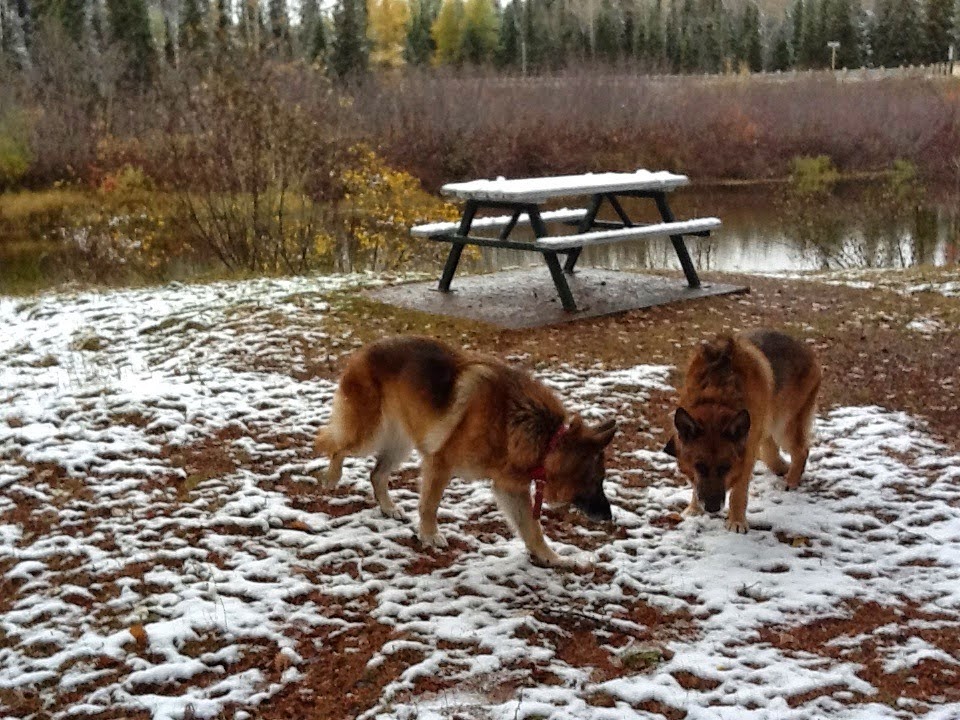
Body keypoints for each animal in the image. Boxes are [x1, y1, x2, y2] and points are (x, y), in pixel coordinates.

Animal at [314, 336, 616, 568]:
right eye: (596, 481)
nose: (610, 517)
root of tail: (365, 350)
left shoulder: (511, 489)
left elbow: (533, 531)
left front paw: (551, 558)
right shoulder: (440, 464)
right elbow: (429, 505)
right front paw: (429, 535)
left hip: (400, 445)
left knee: (376, 474)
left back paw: (388, 507)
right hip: (368, 436)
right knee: (334, 444)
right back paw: (332, 477)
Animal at [664, 330, 820, 532]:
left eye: (726, 467)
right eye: (700, 467)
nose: (712, 508)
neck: (716, 395)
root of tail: (806, 349)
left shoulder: (746, 453)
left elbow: (738, 492)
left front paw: (736, 521)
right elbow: (696, 484)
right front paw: (694, 509)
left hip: (783, 424)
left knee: (801, 450)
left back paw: (791, 481)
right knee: (771, 451)